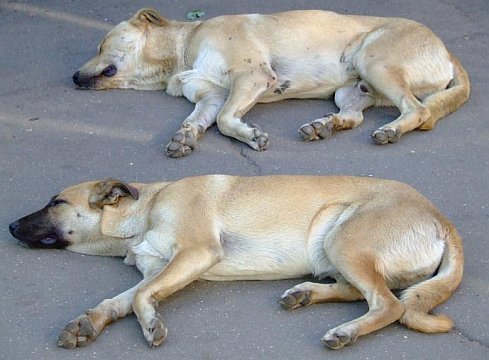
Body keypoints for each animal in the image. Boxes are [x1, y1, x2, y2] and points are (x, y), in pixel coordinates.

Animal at [9, 174, 464, 348]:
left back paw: (346, 332)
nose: (10, 226)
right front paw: (90, 321)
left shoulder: (195, 254)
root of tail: (441, 219)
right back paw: (305, 294)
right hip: (337, 249)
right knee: (361, 292)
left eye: (56, 203)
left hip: (343, 238)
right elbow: (122, 299)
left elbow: (139, 300)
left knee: (389, 304)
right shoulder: (159, 270)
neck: (147, 208)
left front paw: (151, 324)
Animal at [72, 8, 468, 158]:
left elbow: (226, 120)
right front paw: (185, 136)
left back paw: (392, 130)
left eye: (100, 45)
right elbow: (200, 118)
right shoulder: (210, 95)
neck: (184, 50)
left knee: (417, 111)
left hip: (374, 61)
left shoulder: (251, 77)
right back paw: (324, 125)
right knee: (354, 115)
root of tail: (447, 50)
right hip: (352, 87)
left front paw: (250, 136)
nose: (73, 77)